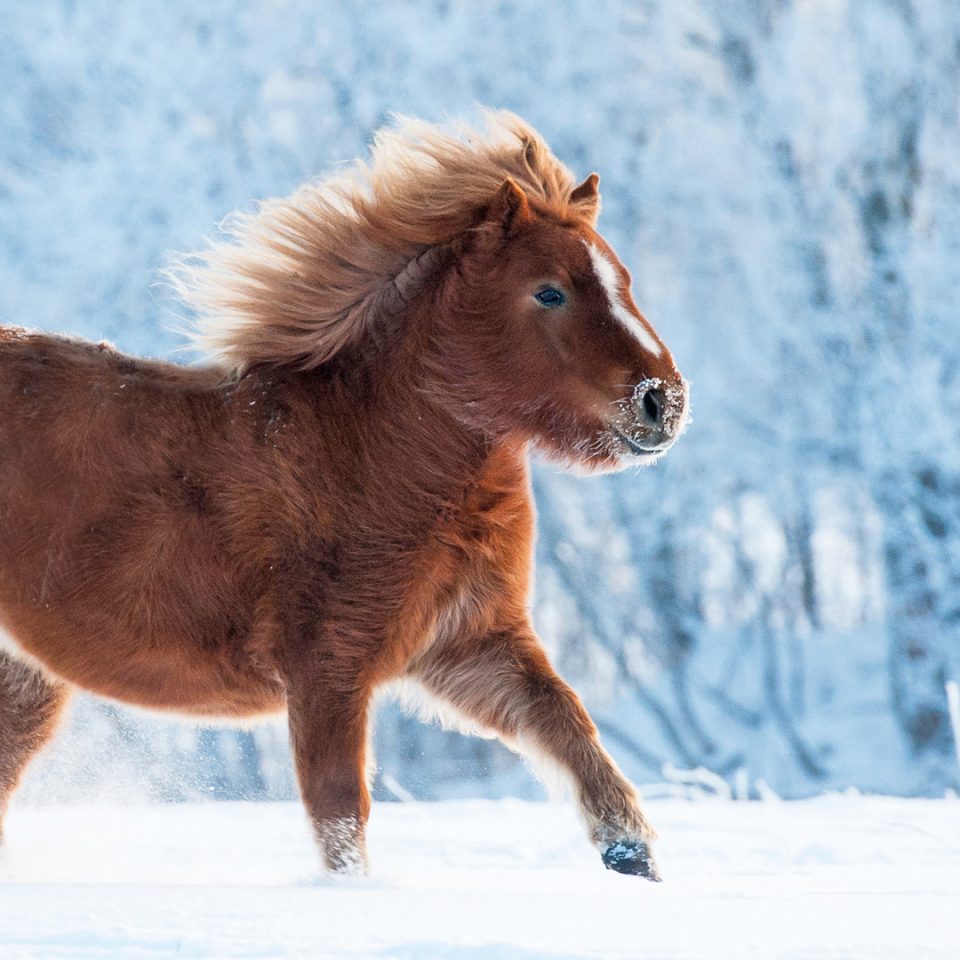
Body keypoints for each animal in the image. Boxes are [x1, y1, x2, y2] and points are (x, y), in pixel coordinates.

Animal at [0, 111, 688, 879]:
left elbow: (568, 727)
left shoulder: (470, 644)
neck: (372, 456)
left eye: (622, 279)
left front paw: (633, 859)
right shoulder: (328, 671)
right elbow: (341, 819)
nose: (662, 401)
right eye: (549, 292)